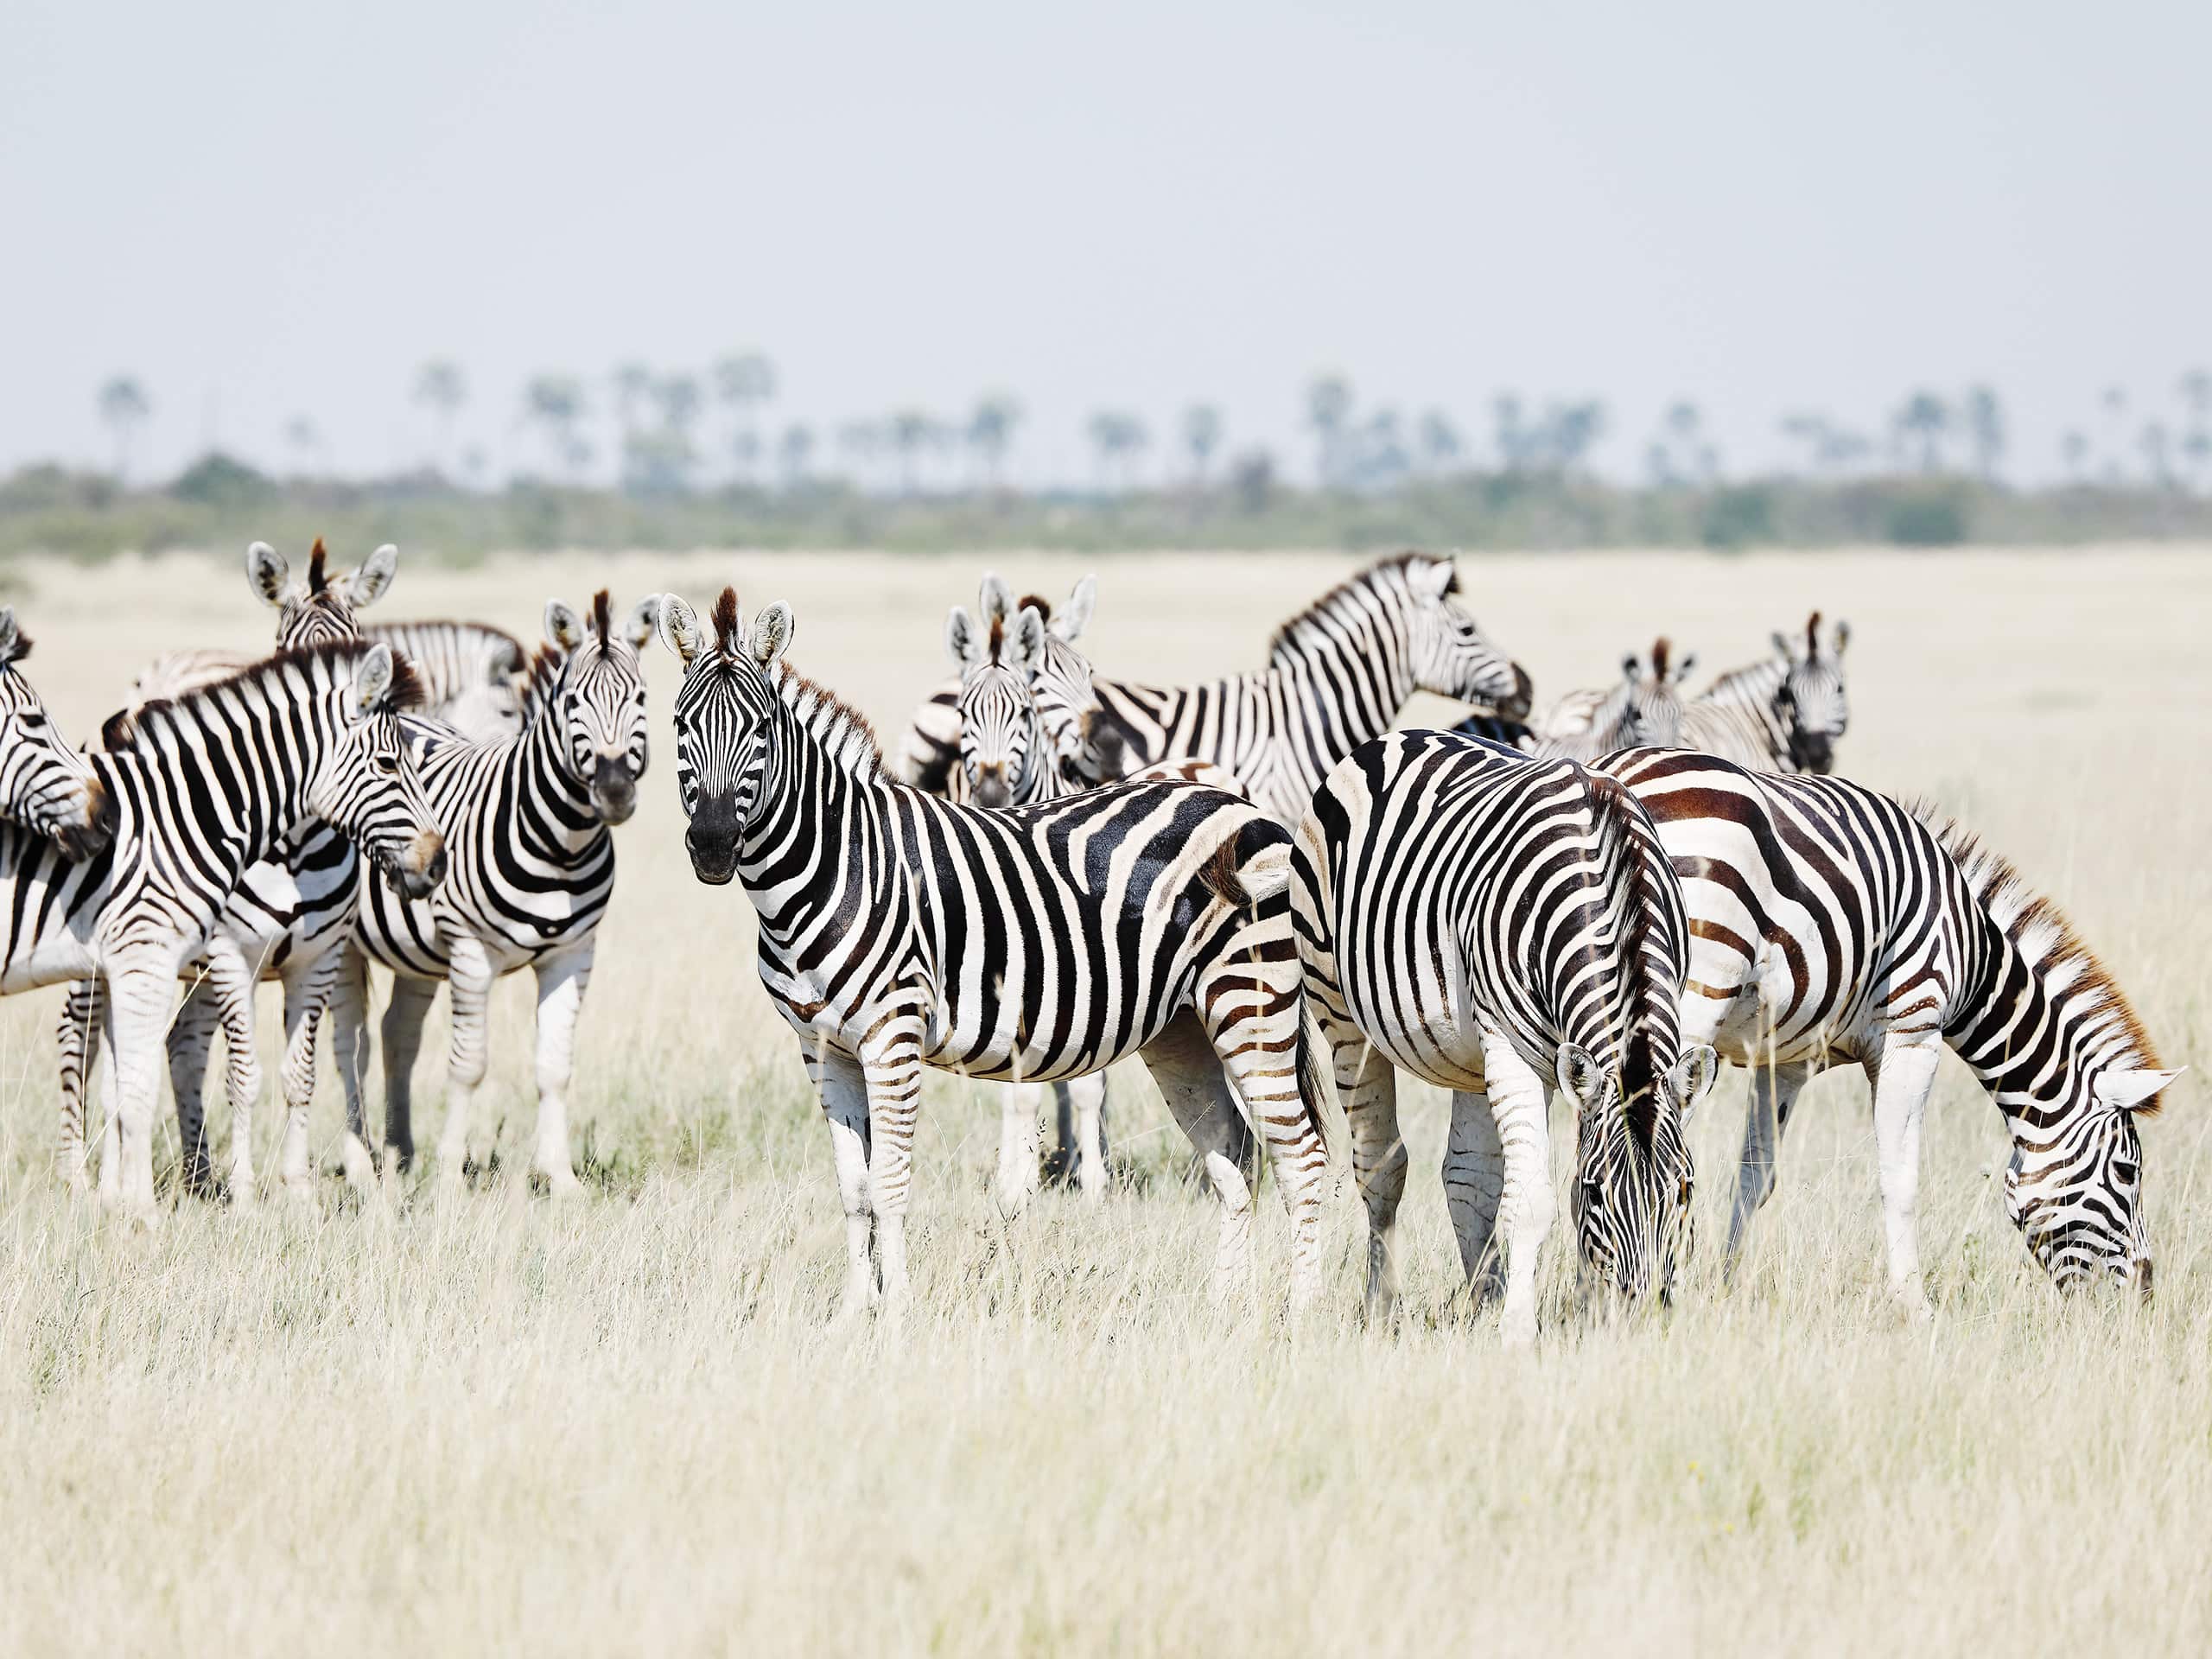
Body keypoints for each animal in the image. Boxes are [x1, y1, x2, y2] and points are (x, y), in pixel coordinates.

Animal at [11, 642, 444, 1213]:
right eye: (389, 765)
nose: (437, 863)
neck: (292, 851)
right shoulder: (232, 958)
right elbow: (244, 1076)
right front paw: (243, 1193)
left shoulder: (317, 961)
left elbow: (299, 1076)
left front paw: (297, 1192)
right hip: (102, 961)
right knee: (79, 1042)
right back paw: (87, 1182)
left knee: (169, 1048)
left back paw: (181, 1180)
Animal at [330, 590, 659, 1195]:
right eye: (573, 702)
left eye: (642, 698)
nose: (615, 793)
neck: (561, 845)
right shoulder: (470, 951)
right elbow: (469, 1066)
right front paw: (449, 1182)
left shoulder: (572, 953)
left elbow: (554, 1067)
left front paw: (561, 1179)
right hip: (340, 944)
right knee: (350, 1043)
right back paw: (361, 1166)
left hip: (416, 952)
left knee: (396, 1033)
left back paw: (399, 1154)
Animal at [659, 587, 1332, 1315]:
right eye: (680, 726)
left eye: (760, 732)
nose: (713, 846)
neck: (837, 867)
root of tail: (1242, 806)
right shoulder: (823, 1047)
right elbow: (854, 1190)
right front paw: (852, 1313)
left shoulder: (893, 1036)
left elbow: (890, 1185)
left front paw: (897, 1312)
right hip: (1181, 1028)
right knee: (1235, 1155)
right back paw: (1223, 1308)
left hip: (1251, 1005)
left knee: (1303, 1158)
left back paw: (1300, 1313)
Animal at [1292, 731, 1716, 1346]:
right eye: (1595, 1193)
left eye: (1683, 1189)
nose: (1641, 1323)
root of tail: (1396, 737)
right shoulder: (1516, 1050)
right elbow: (1532, 1199)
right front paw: (1517, 1331)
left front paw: (1569, 1309)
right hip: (1339, 1008)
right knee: (1379, 1166)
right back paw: (1385, 1310)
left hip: (1469, 1052)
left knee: (1468, 1177)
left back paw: (1481, 1302)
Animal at [1603, 746, 2179, 1308]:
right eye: (2128, 1173)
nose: (2144, 1299)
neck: (1974, 959)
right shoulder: (1913, 1034)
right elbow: (1899, 1180)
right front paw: (1913, 1305)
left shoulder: (1784, 1060)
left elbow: (1754, 1176)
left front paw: (1724, 1289)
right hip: (1692, 993)